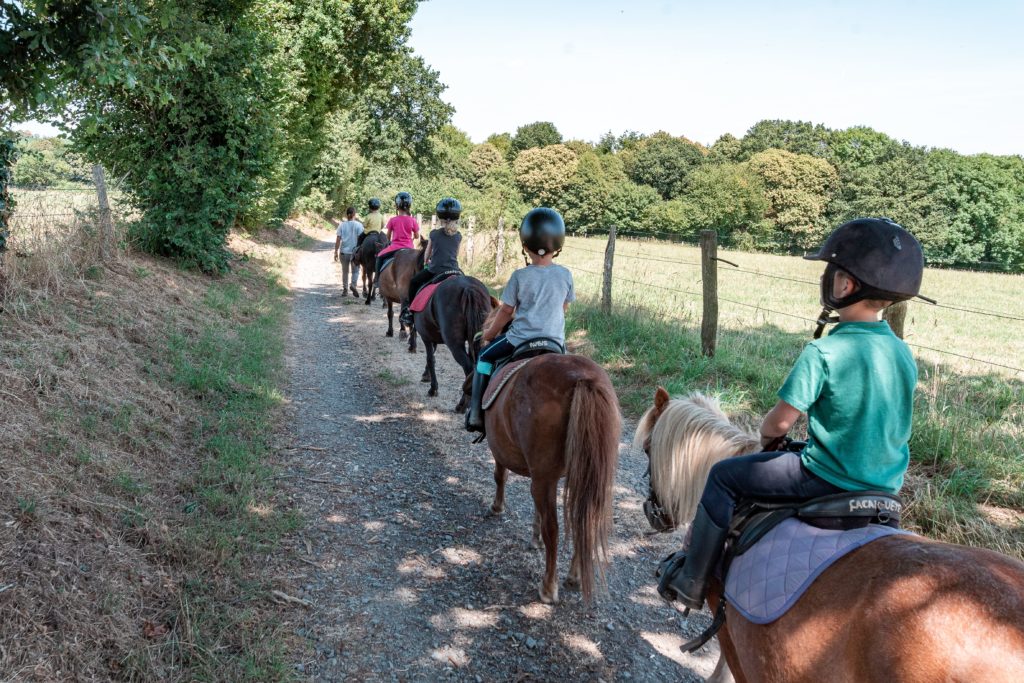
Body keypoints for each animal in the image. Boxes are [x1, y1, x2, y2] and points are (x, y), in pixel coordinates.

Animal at [413, 276, 497, 413]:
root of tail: (468, 287)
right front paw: (426, 376)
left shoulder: (426, 337)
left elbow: (430, 359)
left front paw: (433, 389)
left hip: (454, 344)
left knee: (468, 367)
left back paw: (462, 404)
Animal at [475, 309, 618, 602]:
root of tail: (582, 379)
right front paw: (534, 538)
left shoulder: (502, 451)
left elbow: (499, 476)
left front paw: (497, 507)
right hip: (583, 475)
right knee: (584, 520)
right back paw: (574, 576)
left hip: (546, 477)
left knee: (554, 527)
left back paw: (548, 586)